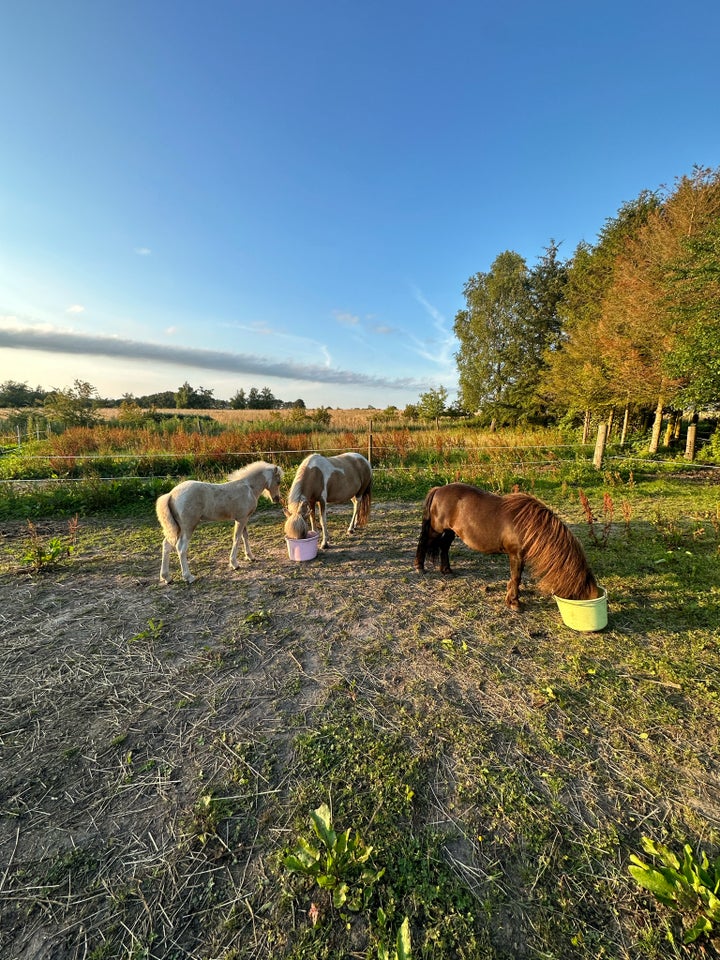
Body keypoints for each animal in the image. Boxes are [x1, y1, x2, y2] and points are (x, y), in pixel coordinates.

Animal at [414, 484, 600, 612]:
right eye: (582, 590)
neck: (530, 526)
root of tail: (438, 489)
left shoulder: (520, 556)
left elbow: (516, 577)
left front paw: (512, 597)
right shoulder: (516, 554)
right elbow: (516, 577)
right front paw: (514, 603)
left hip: (450, 531)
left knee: (444, 547)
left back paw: (446, 570)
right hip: (436, 530)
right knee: (424, 543)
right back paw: (419, 567)